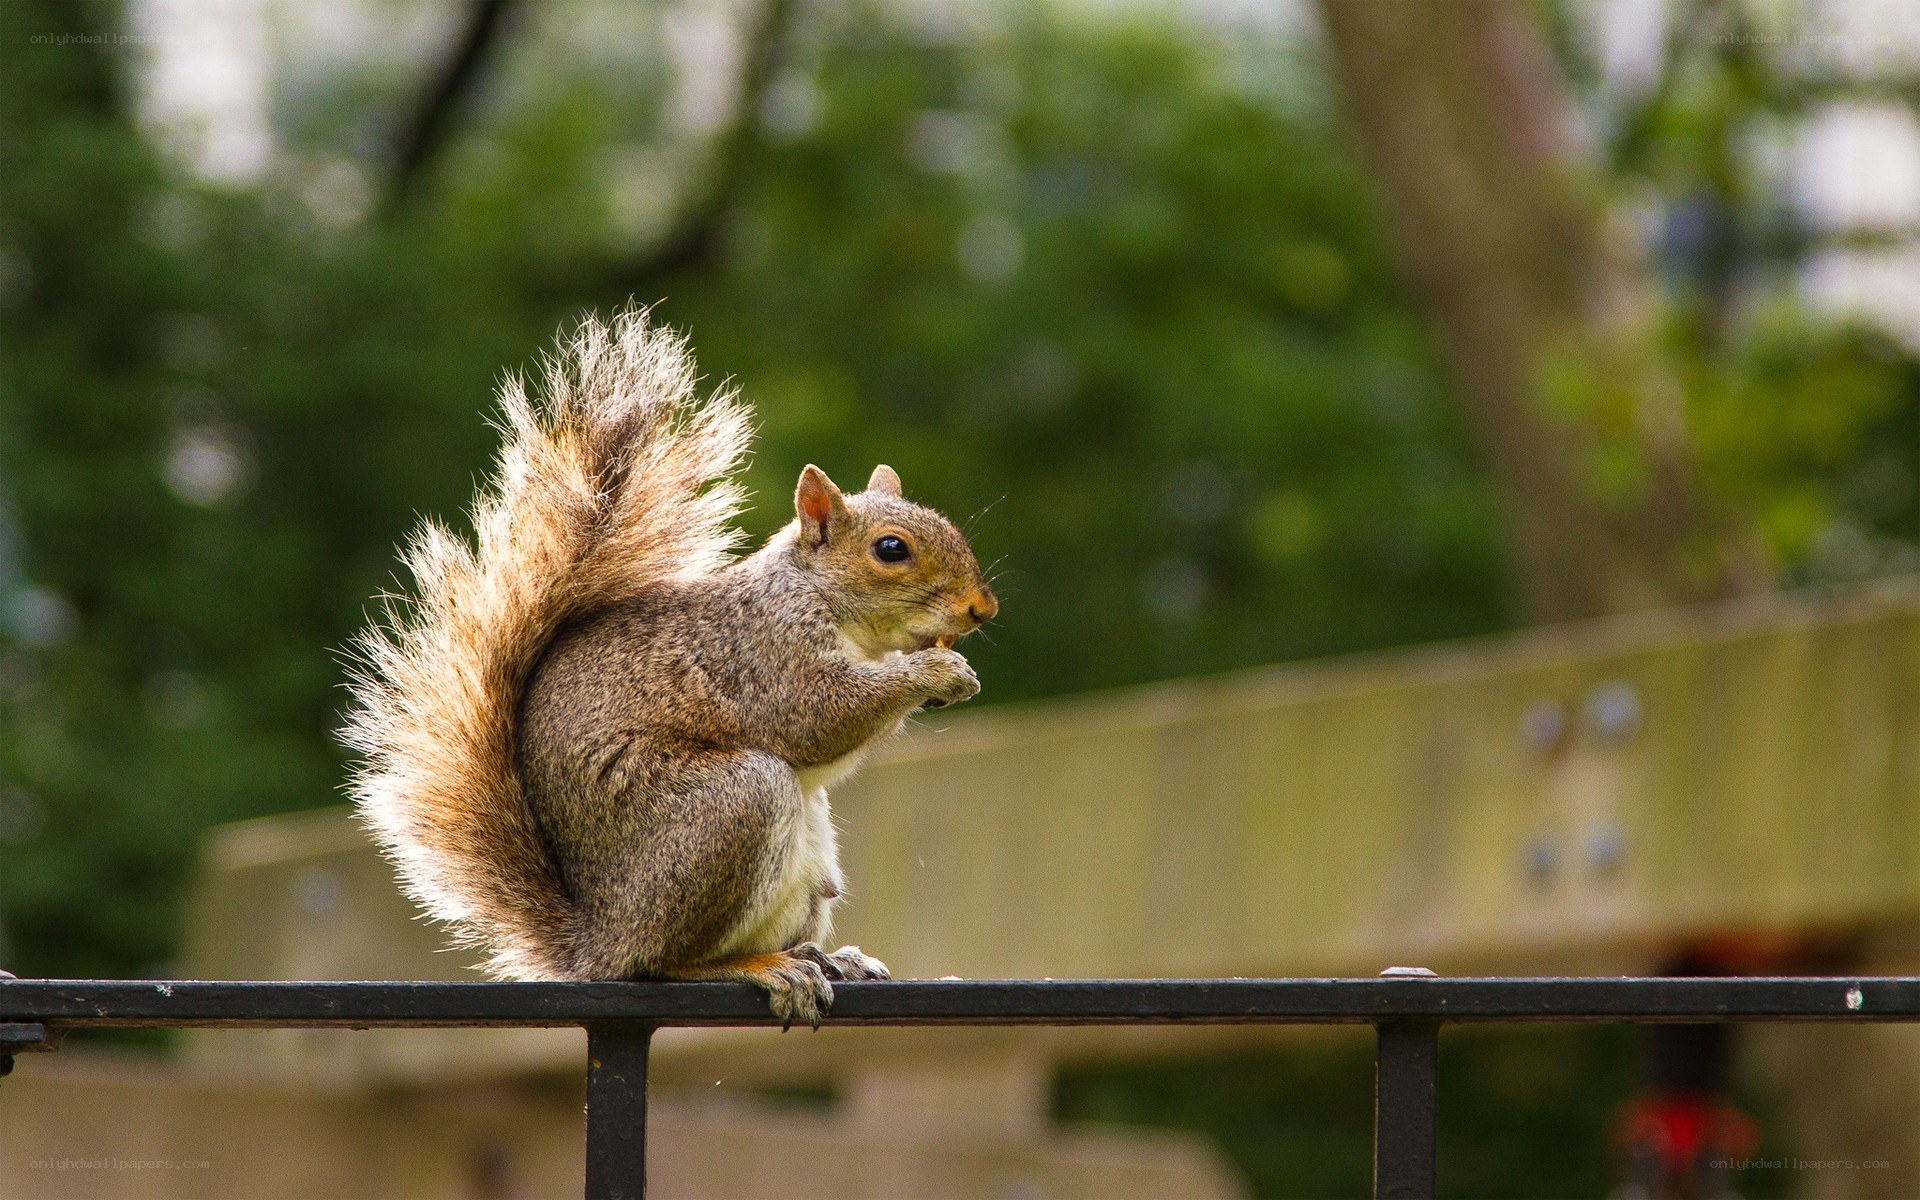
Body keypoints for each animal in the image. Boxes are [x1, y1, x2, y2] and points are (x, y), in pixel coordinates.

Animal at [343, 309, 997, 1027]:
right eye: (890, 550)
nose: (982, 608)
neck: (831, 608)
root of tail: (600, 940)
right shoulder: (764, 653)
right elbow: (816, 716)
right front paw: (937, 675)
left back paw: (830, 959)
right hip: (730, 807)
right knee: (667, 963)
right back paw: (762, 967)